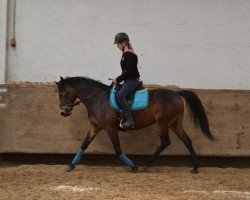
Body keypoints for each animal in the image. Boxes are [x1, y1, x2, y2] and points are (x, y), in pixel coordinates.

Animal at [55, 76, 214, 173]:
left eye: (63, 93)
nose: (63, 112)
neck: (98, 99)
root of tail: (177, 94)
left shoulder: (111, 129)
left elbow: (117, 149)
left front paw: (134, 166)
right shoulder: (95, 127)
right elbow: (84, 145)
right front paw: (71, 165)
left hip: (162, 124)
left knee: (165, 142)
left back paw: (148, 163)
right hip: (175, 123)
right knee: (187, 141)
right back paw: (195, 167)